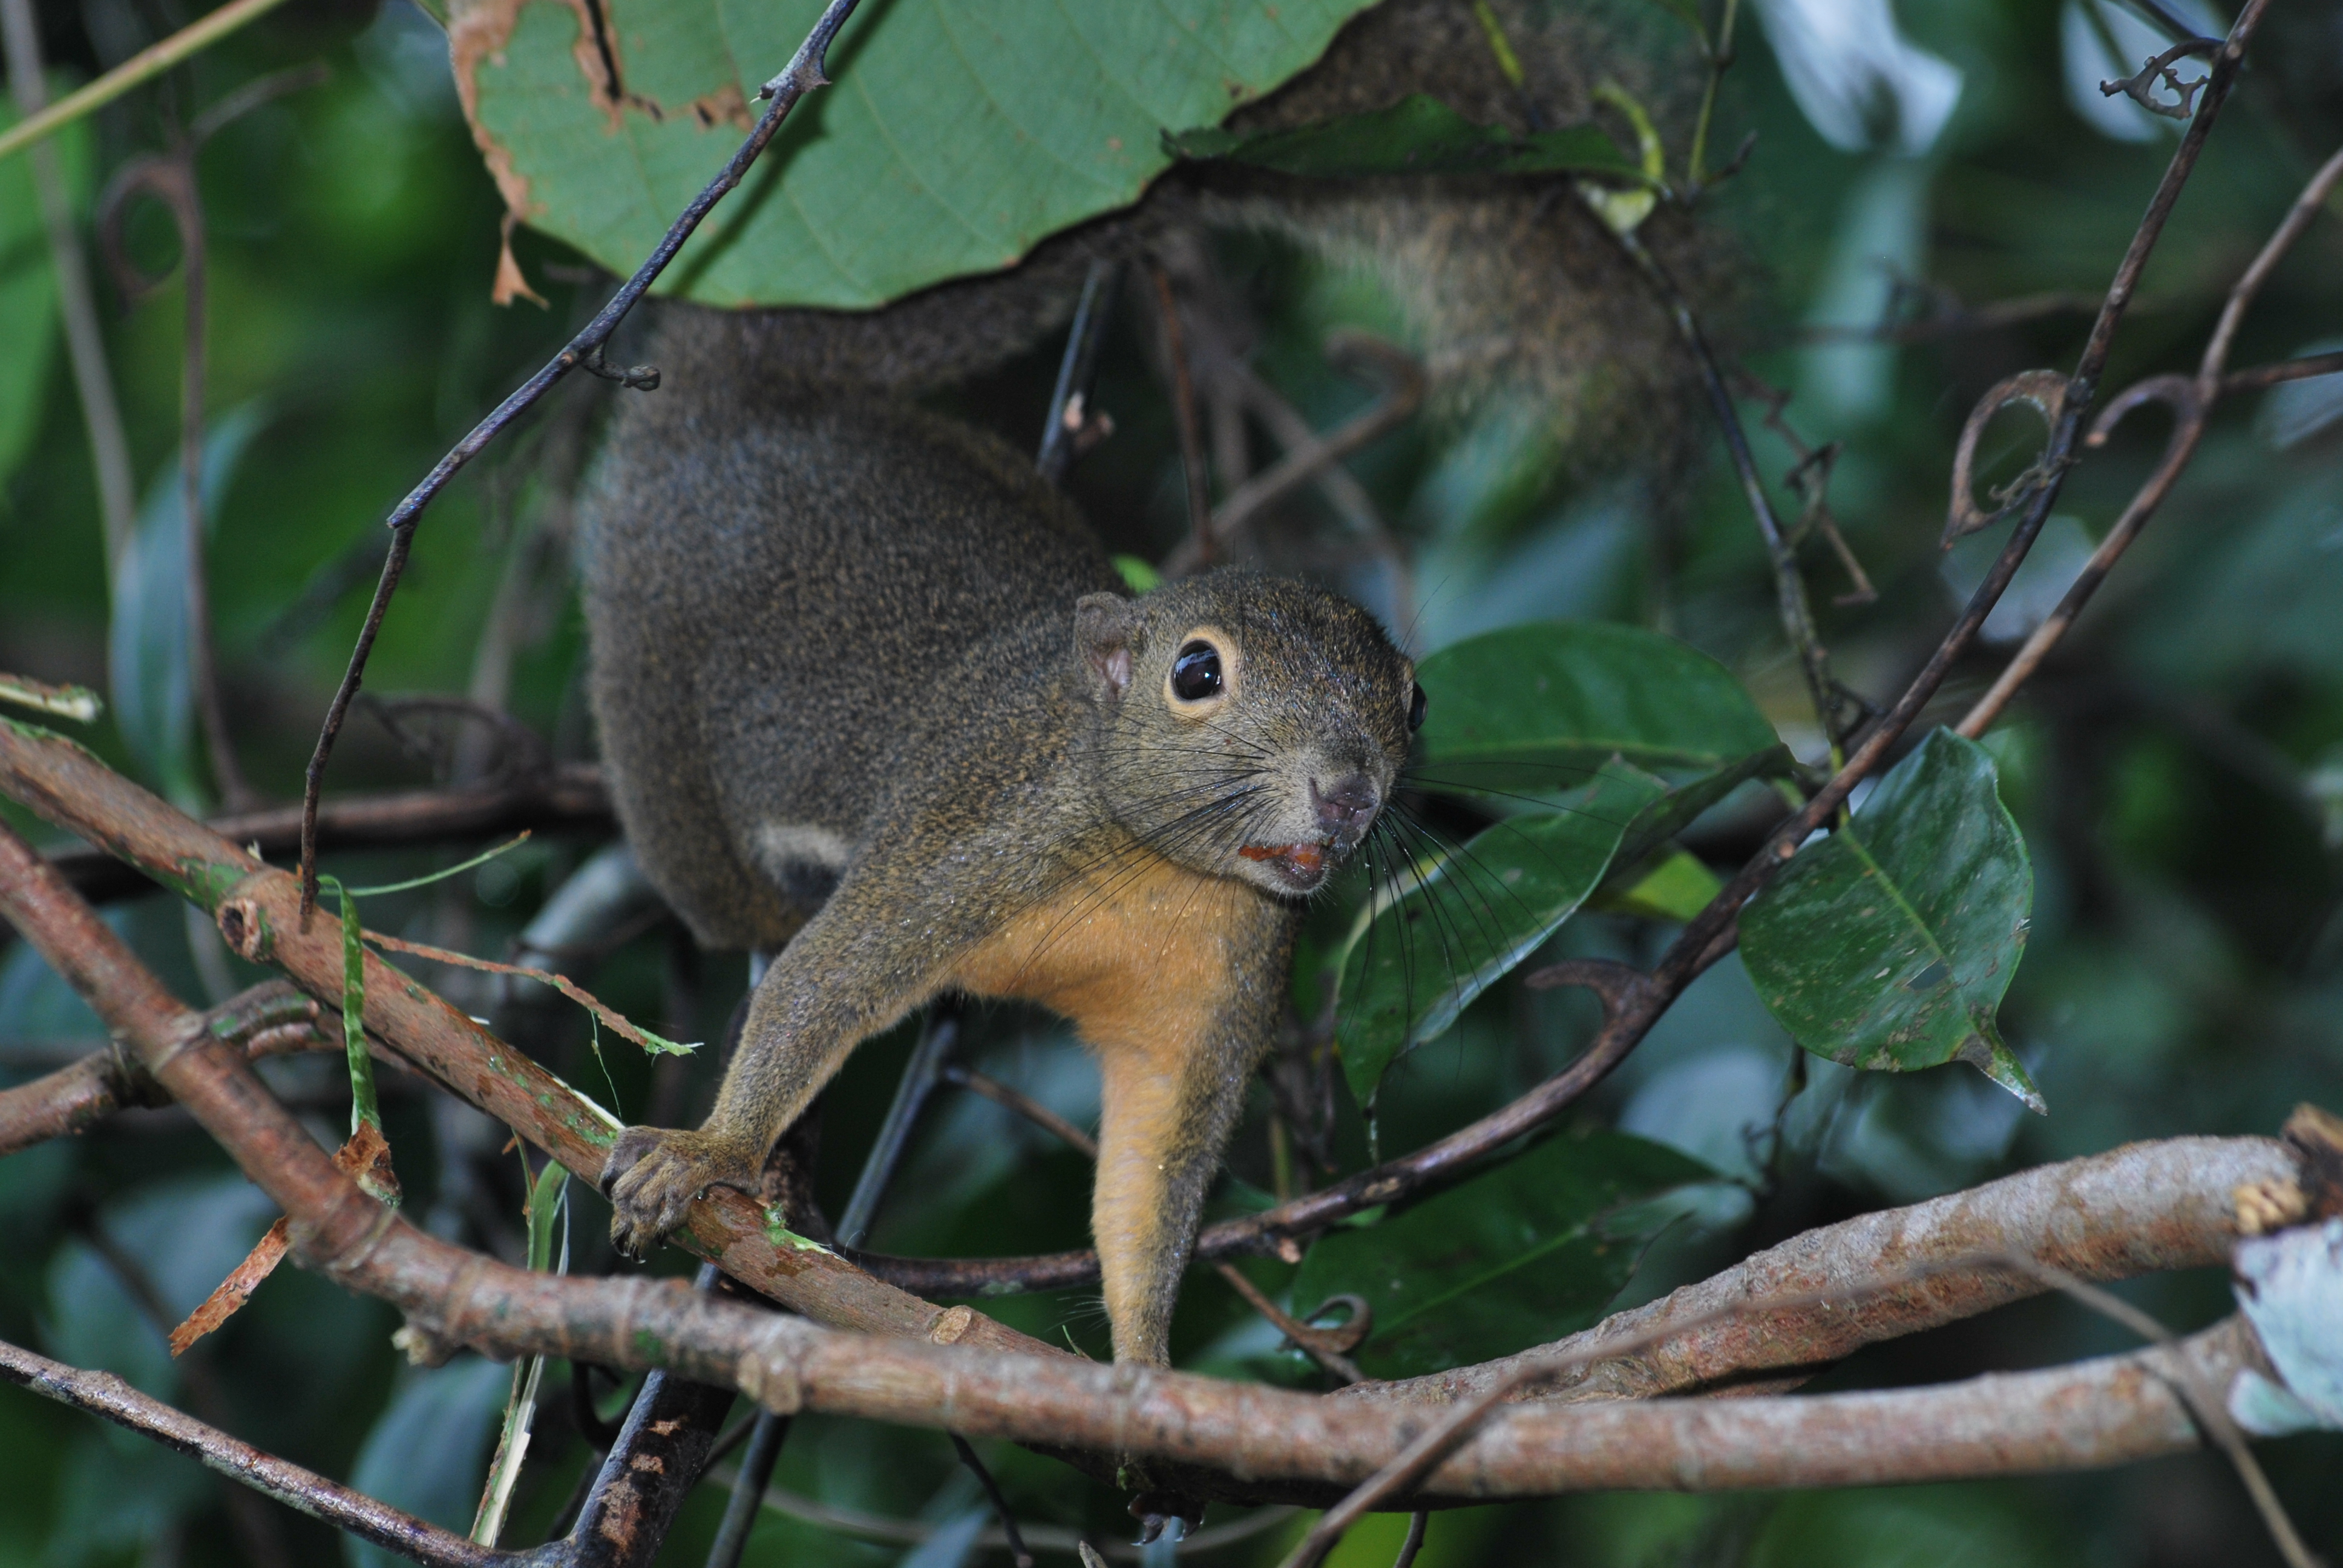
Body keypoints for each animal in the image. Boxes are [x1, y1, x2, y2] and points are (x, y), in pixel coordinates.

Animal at [576, 0, 1715, 1368]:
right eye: (1195, 672)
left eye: (1415, 702)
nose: (1347, 793)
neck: (1155, 869)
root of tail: (742, 393)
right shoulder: (963, 842)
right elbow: (824, 981)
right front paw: (713, 1151)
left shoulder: (1215, 994)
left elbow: (1154, 1175)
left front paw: (1142, 1369)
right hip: (652, 707)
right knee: (738, 909)